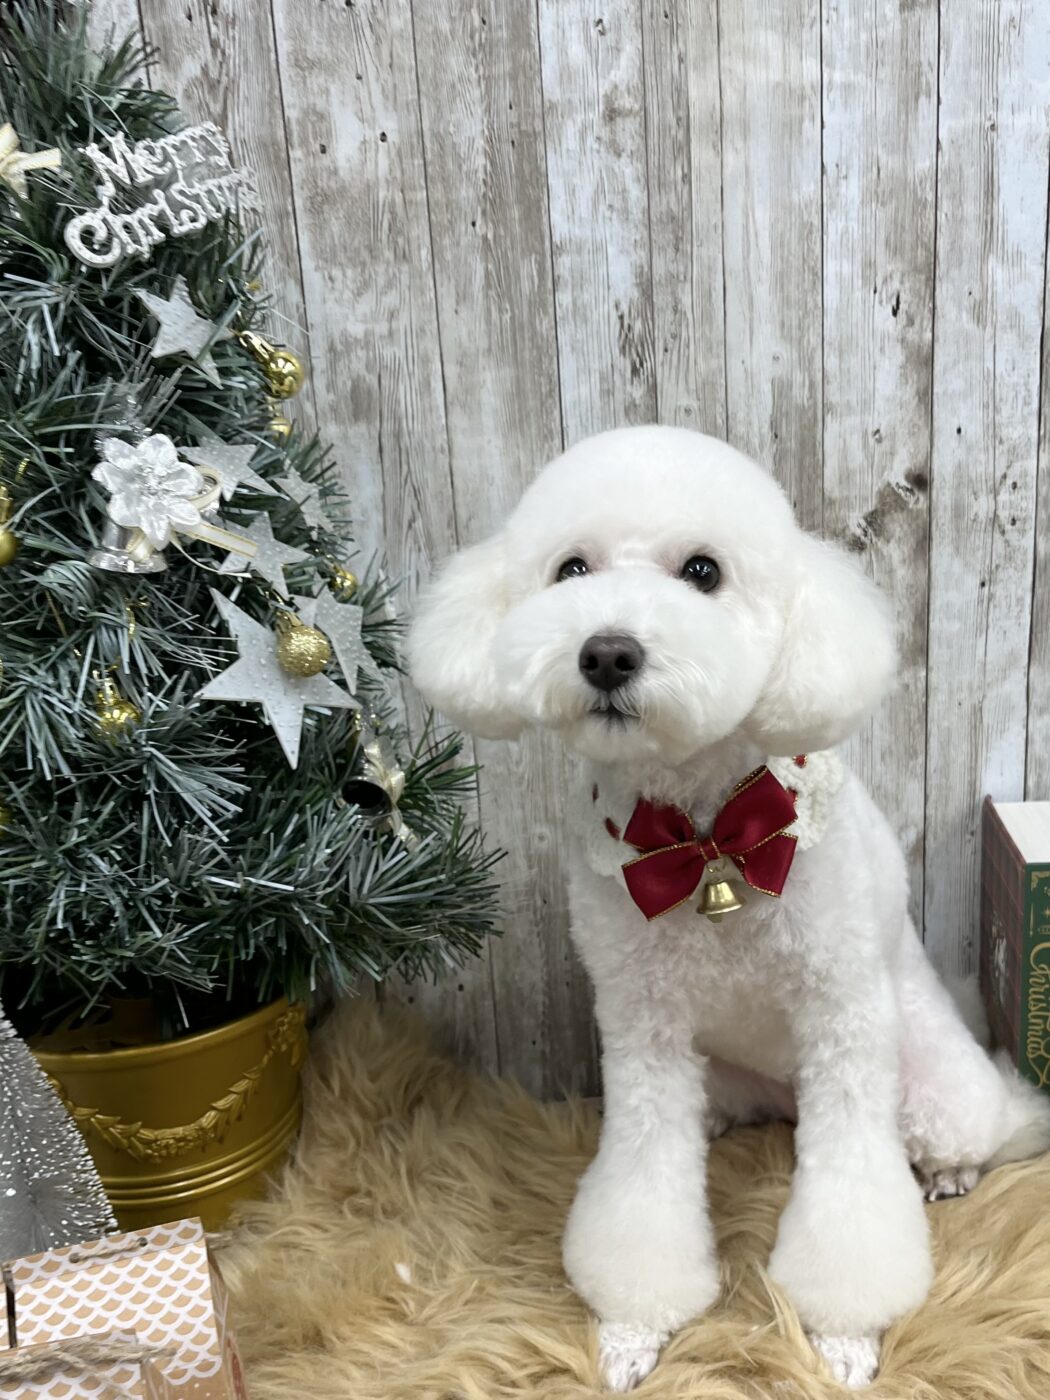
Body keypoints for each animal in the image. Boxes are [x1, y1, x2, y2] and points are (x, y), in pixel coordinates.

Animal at [407, 425, 1050, 1390]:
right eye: (569, 569)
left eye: (703, 572)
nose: (607, 652)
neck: (707, 839)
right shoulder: (643, 1029)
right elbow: (641, 1185)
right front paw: (634, 1330)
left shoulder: (841, 1016)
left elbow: (853, 1199)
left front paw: (844, 1337)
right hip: (718, 1075)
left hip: (936, 1083)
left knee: (987, 1126)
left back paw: (950, 1173)